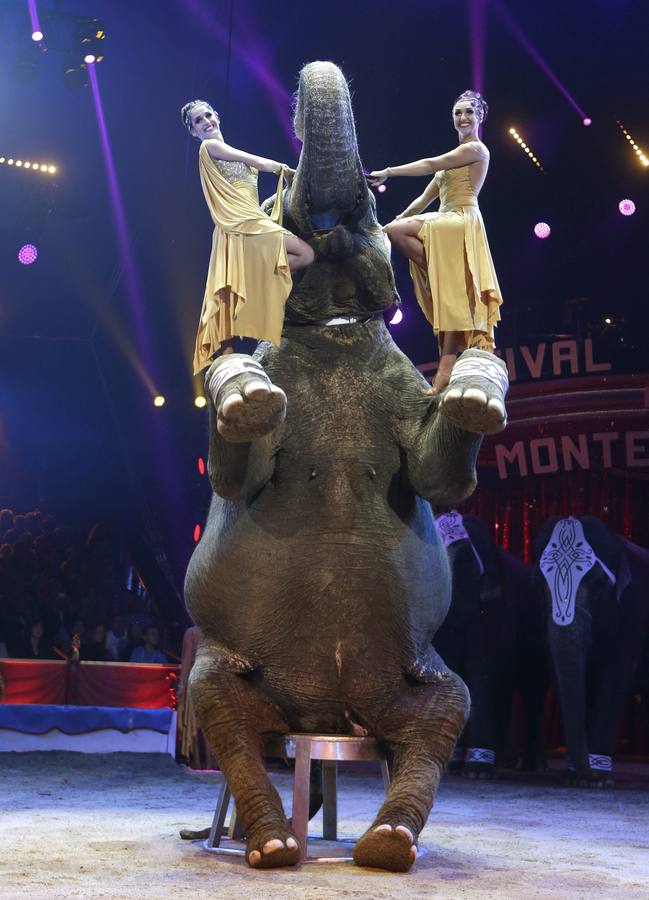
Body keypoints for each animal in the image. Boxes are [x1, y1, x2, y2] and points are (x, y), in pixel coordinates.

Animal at [181, 59, 506, 868]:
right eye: (285, 211)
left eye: (368, 205)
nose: (368, 181)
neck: (333, 332)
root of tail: (326, 716)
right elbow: (234, 477)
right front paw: (245, 394)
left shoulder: (402, 388)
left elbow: (441, 480)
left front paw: (475, 391)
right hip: (222, 661)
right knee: (224, 715)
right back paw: (269, 845)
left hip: (418, 670)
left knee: (444, 710)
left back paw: (386, 843)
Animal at [430, 512, 548, 780]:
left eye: (476, 568)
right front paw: (453, 766)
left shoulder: (496, 611)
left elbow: (481, 672)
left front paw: (477, 771)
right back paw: (503, 761)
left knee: (532, 689)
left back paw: (531, 765)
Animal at [532, 516, 648, 784]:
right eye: (541, 586)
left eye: (598, 583)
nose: (590, 772)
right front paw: (575, 777)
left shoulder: (630, 619)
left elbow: (614, 679)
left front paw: (599, 777)